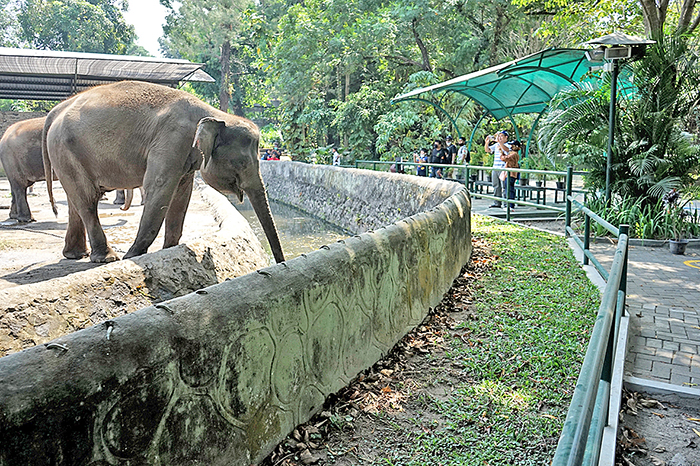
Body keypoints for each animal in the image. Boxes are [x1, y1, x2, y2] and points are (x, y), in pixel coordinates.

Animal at [43, 81, 284, 264]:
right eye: (242, 163)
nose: (280, 264)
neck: (213, 113)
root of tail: (57, 110)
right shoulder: (172, 139)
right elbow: (159, 188)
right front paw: (132, 256)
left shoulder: (185, 155)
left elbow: (181, 197)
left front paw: (169, 249)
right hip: (65, 148)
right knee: (87, 199)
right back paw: (107, 258)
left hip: (65, 154)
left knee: (75, 201)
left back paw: (76, 255)